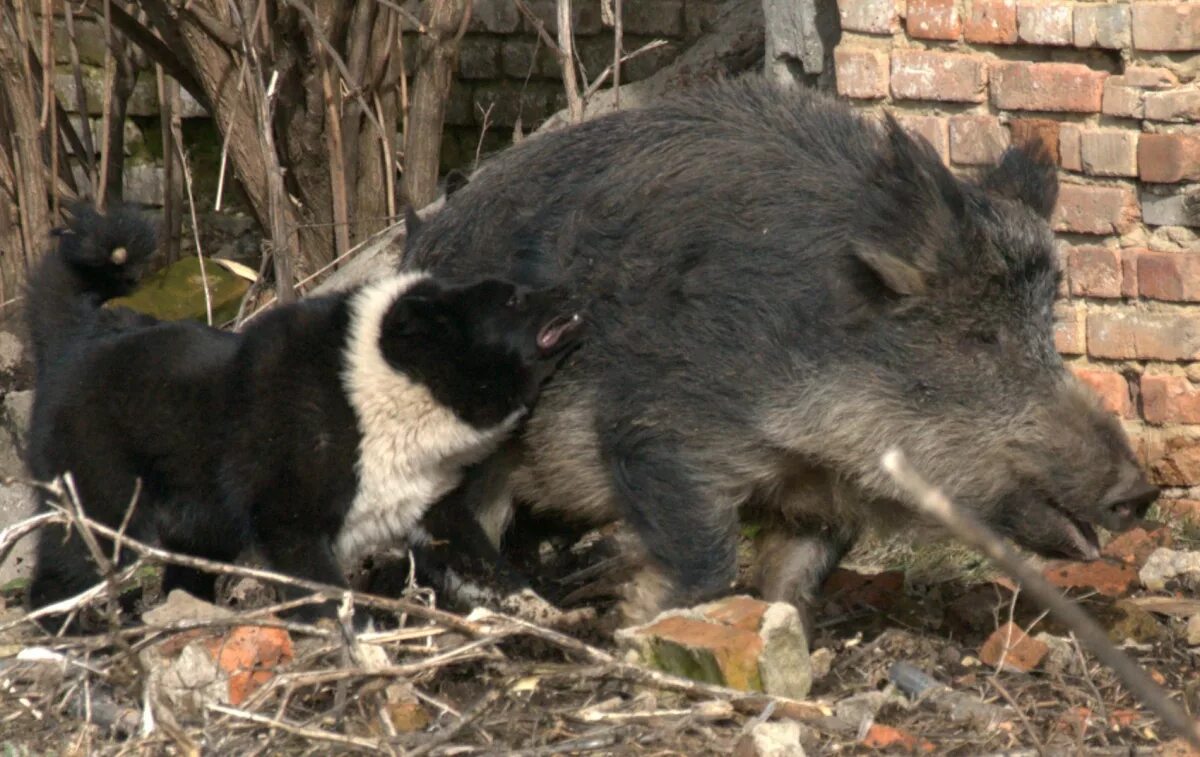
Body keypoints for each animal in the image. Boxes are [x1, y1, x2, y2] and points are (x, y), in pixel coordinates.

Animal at [23, 202, 585, 628]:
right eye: (511, 300)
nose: (570, 284)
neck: (382, 391)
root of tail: (74, 339)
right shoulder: (291, 530)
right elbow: (335, 601)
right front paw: (364, 652)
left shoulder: (435, 511)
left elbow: (495, 575)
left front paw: (554, 618)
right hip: (99, 515)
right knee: (55, 584)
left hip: (200, 531)